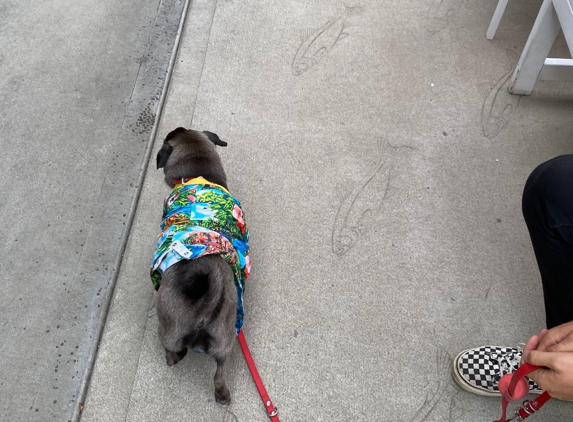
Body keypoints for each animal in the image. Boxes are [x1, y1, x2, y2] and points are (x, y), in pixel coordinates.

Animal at [152, 127, 248, 404]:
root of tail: (205, 307)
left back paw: (171, 358)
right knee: (220, 372)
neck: (199, 173)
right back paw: (222, 394)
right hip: (225, 342)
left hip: (168, 330)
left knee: (174, 352)